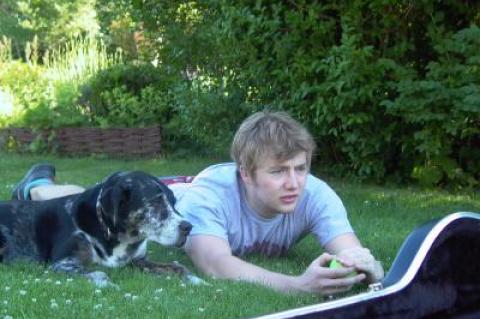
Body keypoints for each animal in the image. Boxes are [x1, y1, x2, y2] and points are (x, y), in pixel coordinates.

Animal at [0, 171, 202, 288]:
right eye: (155, 202)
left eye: (173, 201)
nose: (188, 227)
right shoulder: (63, 264)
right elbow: (100, 273)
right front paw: (110, 285)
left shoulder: (137, 261)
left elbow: (178, 267)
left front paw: (197, 280)